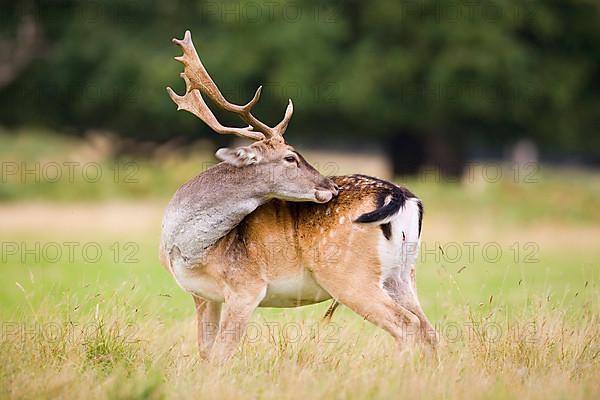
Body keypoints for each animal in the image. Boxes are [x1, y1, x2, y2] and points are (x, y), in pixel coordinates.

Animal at [159, 32, 436, 362]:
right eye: (290, 158)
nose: (331, 187)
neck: (191, 250)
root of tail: (402, 196)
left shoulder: (246, 287)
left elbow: (221, 355)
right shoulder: (202, 295)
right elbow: (205, 352)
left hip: (350, 275)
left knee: (407, 325)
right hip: (403, 274)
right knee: (429, 330)